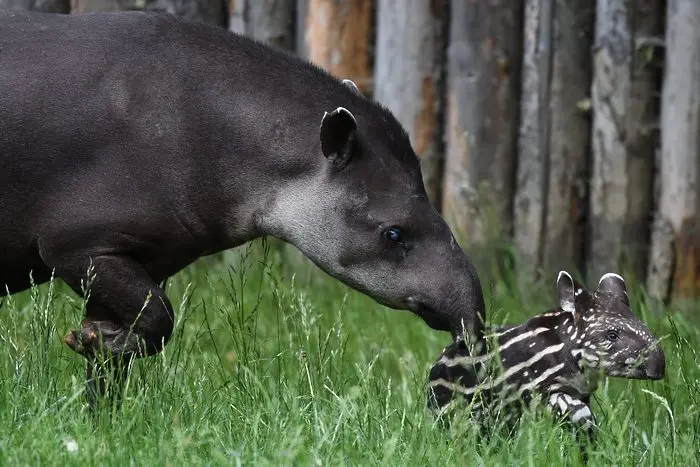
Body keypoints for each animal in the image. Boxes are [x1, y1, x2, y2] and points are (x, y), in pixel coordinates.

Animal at [0, 10, 484, 406]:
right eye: (393, 233)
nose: (471, 323)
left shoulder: (139, 255)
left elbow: (117, 358)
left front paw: (100, 380)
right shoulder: (77, 242)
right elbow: (161, 317)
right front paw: (93, 344)